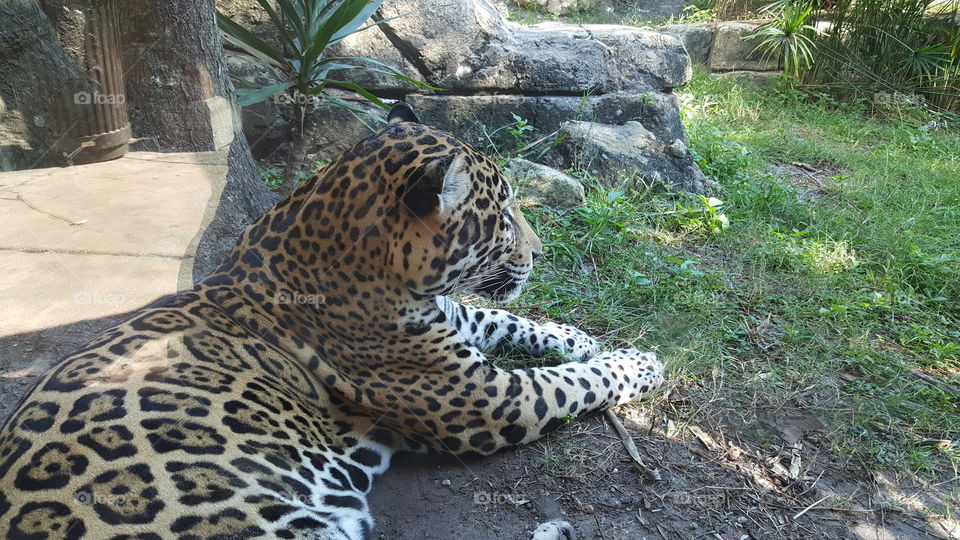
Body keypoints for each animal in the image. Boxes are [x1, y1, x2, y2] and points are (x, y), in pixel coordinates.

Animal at [0, 102, 664, 540]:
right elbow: (574, 382)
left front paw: (578, 337)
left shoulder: (456, 328)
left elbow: (503, 317)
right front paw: (640, 361)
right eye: (501, 213)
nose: (541, 252)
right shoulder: (485, 399)